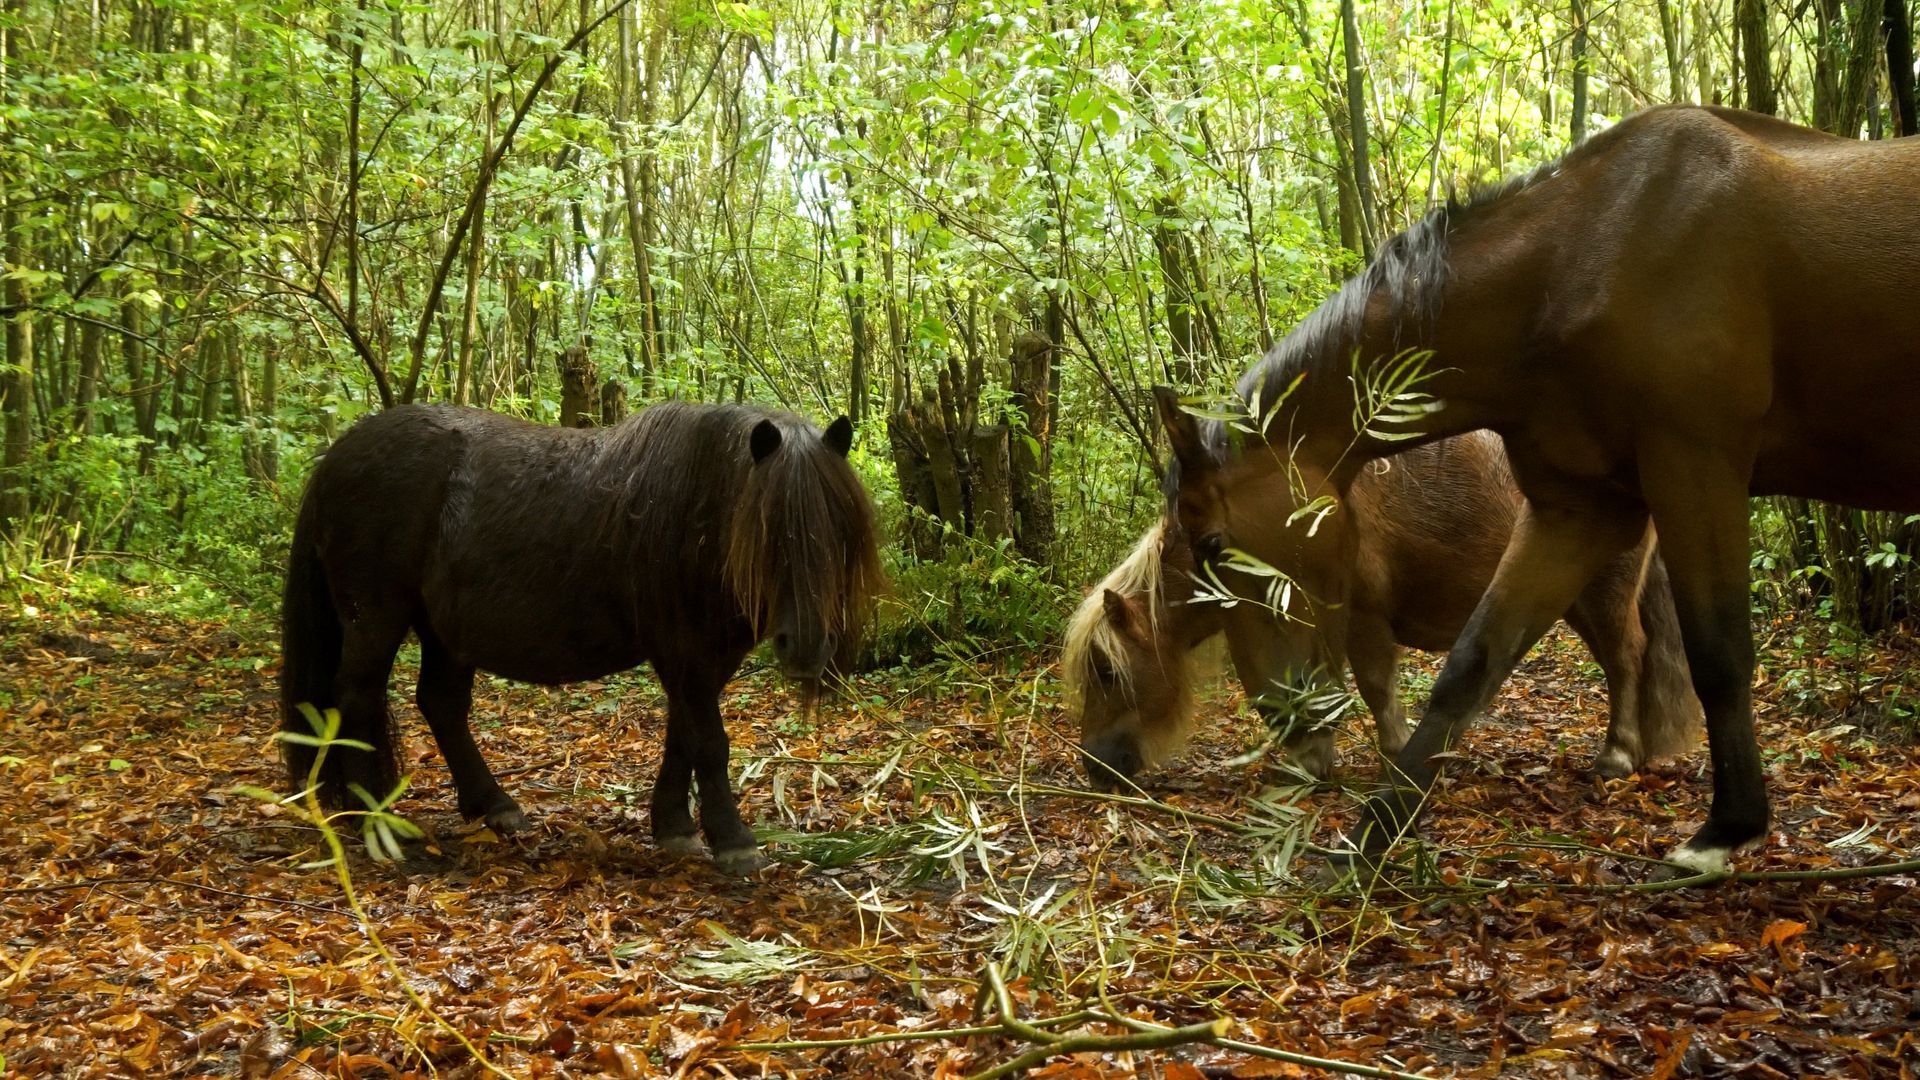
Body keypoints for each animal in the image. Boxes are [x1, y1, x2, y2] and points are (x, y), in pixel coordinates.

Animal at [279, 402, 882, 874]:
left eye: (840, 530)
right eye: (770, 532)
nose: (807, 646)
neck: (696, 510)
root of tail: (336, 457)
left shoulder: (704, 658)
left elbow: (682, 737)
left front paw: (673, 827)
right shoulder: (683, 650)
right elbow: (709, 742)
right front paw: (732, 840)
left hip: (445, 630)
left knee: (441, 704)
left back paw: (492, 805)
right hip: (375, 617)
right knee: (355, 700)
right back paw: (373, 817)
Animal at [1065, 432, 1699, 789]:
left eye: (1105, 670)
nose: (1092, 765)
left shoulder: (1361, 616)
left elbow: (1371, 687)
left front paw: (1394, 757)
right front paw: (1315, 759)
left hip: (1603, 593)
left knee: (1626, 659)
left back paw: (1617, 754)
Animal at [1157, 104, 1920, 874]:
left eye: (1211, 542)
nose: (1283, 719)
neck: (1586, 257)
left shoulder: (1695, 470)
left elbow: (1720, 653)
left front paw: (1729, 827)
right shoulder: (1576, 509)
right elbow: (1473, 661)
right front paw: (1378, 829)